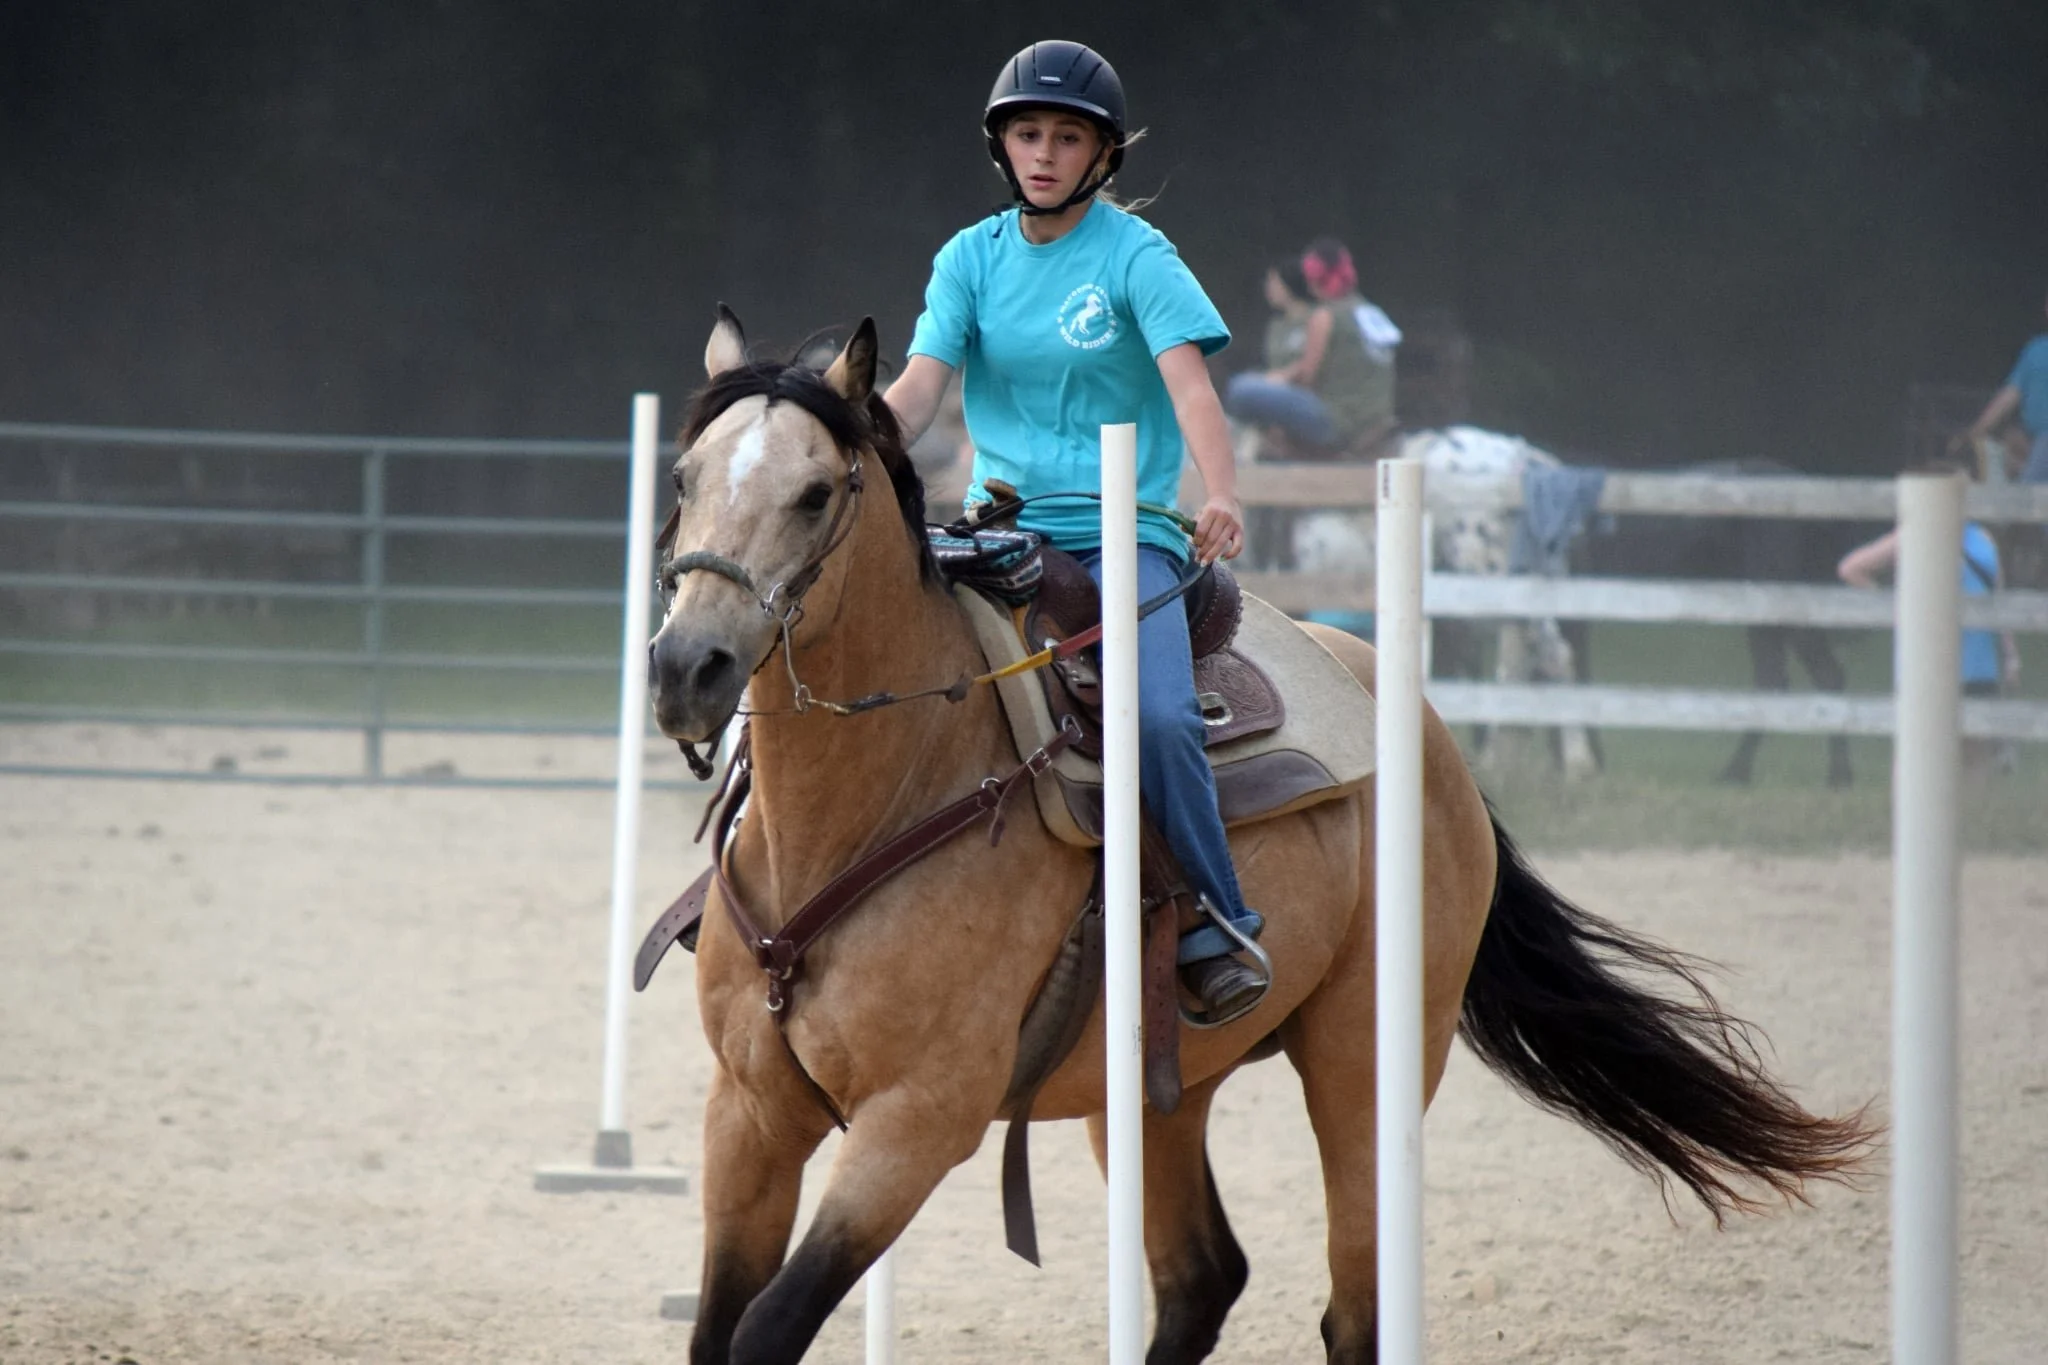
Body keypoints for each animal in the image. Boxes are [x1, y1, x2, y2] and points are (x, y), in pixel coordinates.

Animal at [644, 309, 1874, 1365]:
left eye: (814, 493)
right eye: (683, 478)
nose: (685, 667)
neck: (878, 803)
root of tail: (1417, 721)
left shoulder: (914, 1125)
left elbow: (764, 1331)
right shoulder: (746, 1115)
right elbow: (715, 1330)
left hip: (1369, 1062)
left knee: (1353, 1308)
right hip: (1155, 1090)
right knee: (1202, 1279)